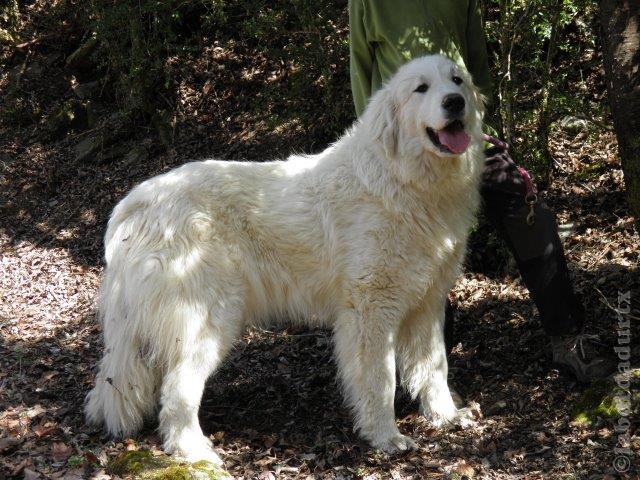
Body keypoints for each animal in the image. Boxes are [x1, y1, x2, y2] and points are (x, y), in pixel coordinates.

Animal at [85, 54, 484, 464]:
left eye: (457, 80)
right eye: (421, 88)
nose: (455, 102)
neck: (404, 179)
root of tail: (138, 201)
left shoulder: (426, 305)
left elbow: (435, 368)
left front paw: (446, 416)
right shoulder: (371, 310)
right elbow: (380, 381)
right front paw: (385, 437)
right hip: (207, 320)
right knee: (177, 391)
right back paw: (193, 450)